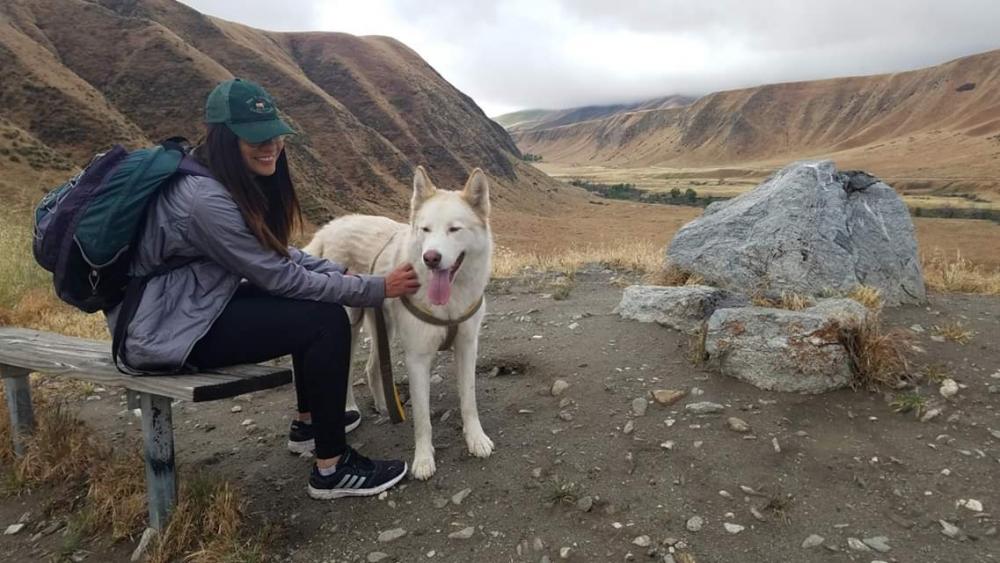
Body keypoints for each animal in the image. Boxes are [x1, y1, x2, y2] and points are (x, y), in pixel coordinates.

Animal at [302, 165, 494, 478]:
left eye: (454, 229)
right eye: (425, 230)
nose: (431, 258)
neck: (449, 301)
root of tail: (329, 229)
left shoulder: (467, 347)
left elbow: (469, 401)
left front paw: (476, 439)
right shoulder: (417, 358)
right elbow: (422, 418)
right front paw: (424, 459)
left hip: (385, 328)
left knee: (371, 368)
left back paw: (384, 406)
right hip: (351, 327)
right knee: (347, 373)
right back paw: (351, 410)